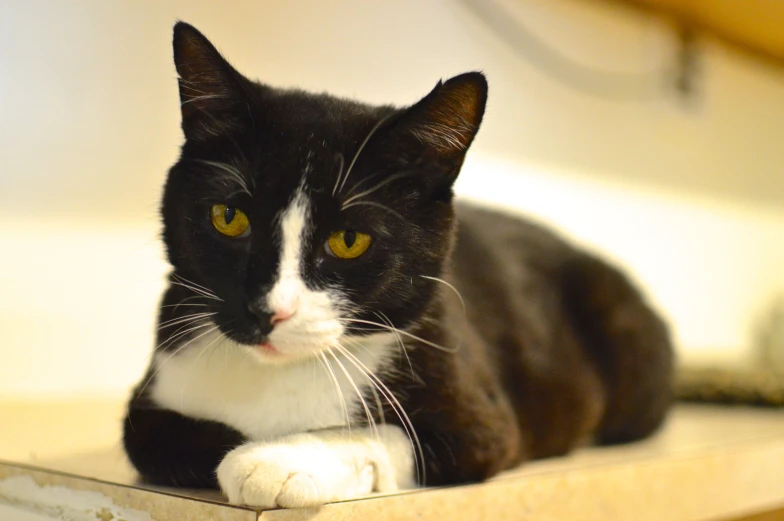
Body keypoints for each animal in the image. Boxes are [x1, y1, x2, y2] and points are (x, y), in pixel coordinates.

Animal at [122, 22, 672, 506]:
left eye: (349, 240)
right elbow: (149, 435)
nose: (266, 311)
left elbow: (385, 432)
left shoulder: (481, 420)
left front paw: (275, 459)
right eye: (229, 217)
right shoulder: (152, 391)